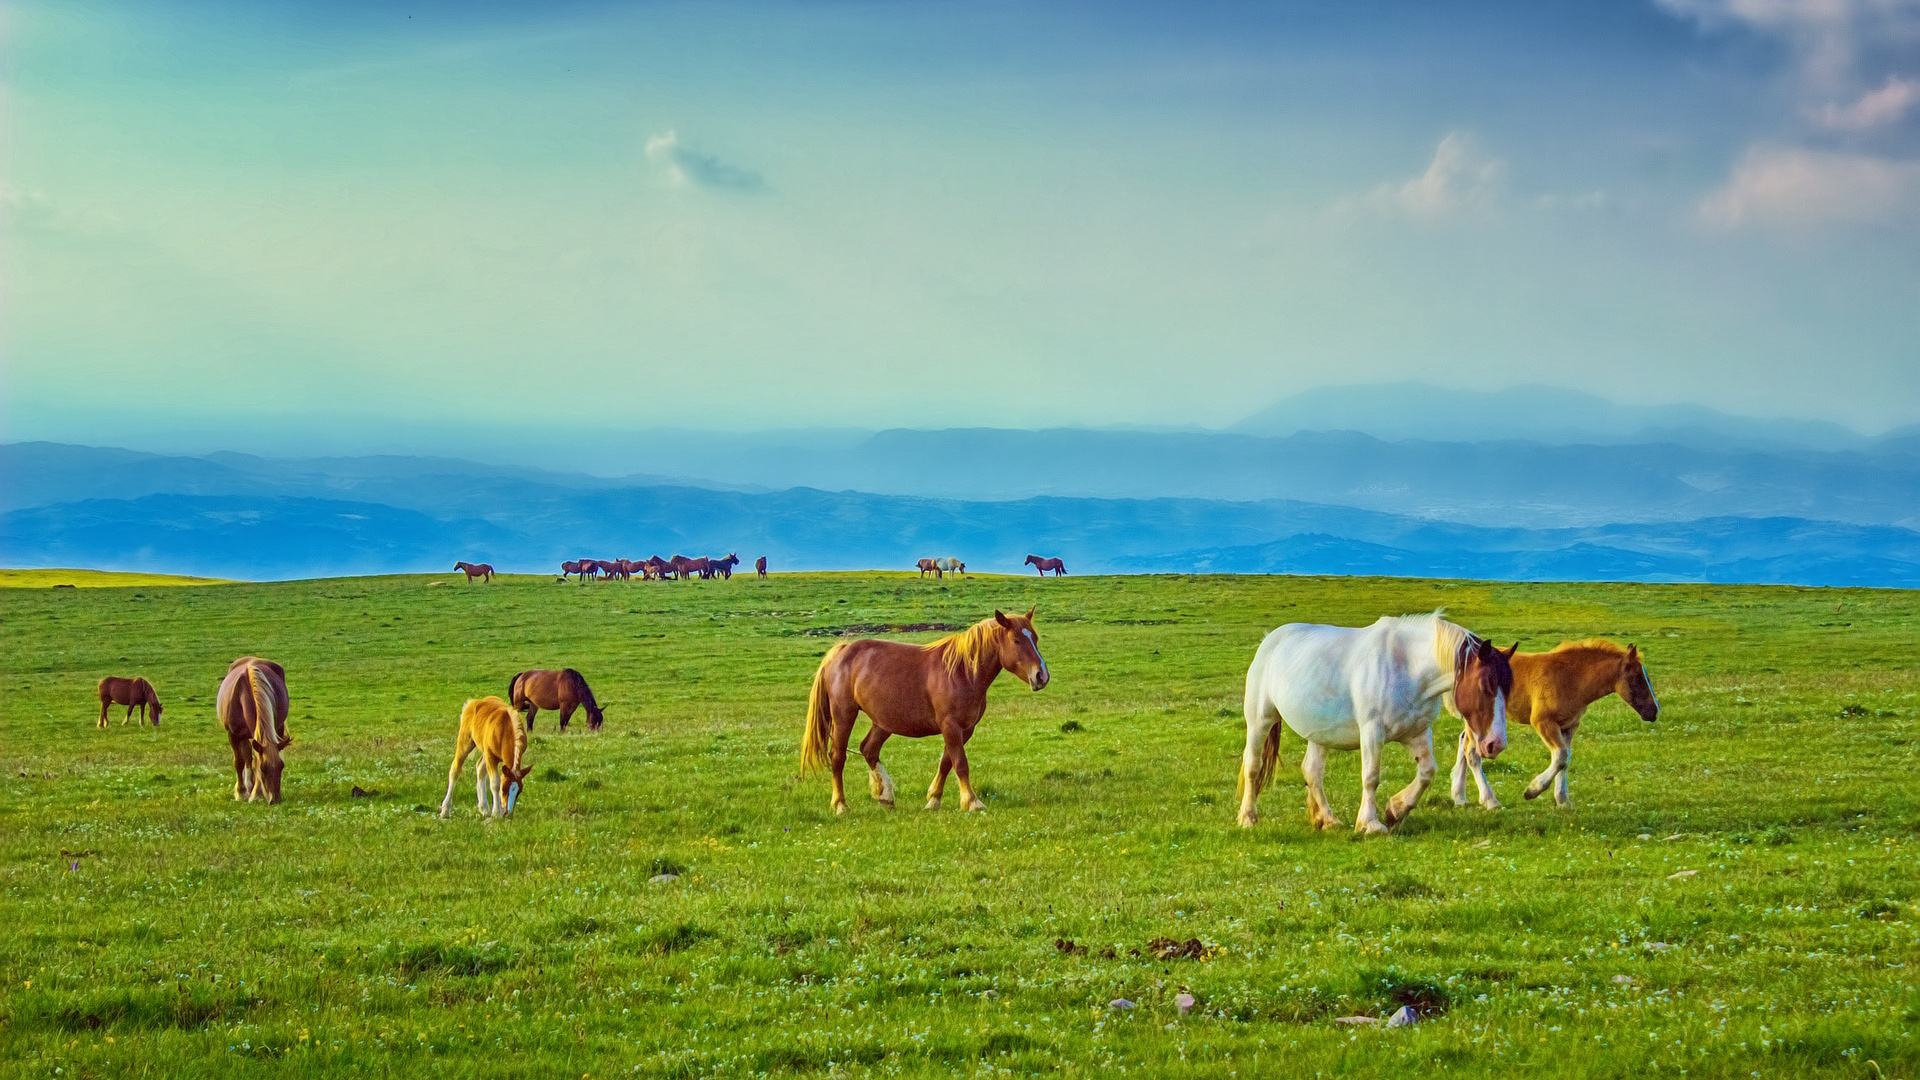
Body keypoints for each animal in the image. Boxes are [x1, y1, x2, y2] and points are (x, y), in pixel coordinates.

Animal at [216, 653, 289, 803]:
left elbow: (255, 759)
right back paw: (247, 787)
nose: (275, 800)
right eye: (263, 769)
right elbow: (239, 762)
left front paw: (257, 793)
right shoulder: (233, 735)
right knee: (246, 757)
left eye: (282, 767)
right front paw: (241, 793)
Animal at [802, 611, 1059, 810]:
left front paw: (933, 800)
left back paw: (885, 795)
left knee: (869, 749)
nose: (1042, 676)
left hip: (883, 721)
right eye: (1016, 640)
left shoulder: (965, 728)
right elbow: (960, 763)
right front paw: (972, 802)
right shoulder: (950, 725)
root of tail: (841, 652)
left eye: (1035, 638)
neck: (963, 672)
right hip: (844, 715)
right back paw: (841, 805)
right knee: (838, 756)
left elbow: (947, 762)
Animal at [1236, 614, 1520, 834]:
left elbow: (1427, 772)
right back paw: (1248, 817)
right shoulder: (1372, 732)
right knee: (1253, 765)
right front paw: (1370, 824)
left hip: (1320, 734)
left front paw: (1396, 809)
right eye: (1485, 685)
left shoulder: (1418, 732)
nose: (1496, 744)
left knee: (1312, 771)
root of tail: (1270, 640)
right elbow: (1371, 776)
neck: (1408, 668)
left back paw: (1327, 819)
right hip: (1260, 721)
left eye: (1508, 688)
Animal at [1443, 634, 1658, 803]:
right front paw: (1533, 790)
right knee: (1471, 751)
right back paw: (1487, 799)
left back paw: (1459, 796)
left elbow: (1565, 758)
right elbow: (1561, 756)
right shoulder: (1543, 722)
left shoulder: (1569, 726)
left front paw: (1562, 800)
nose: (1654, 711)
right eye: (1637, 677)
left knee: (1464, 741)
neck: (1570, 678)